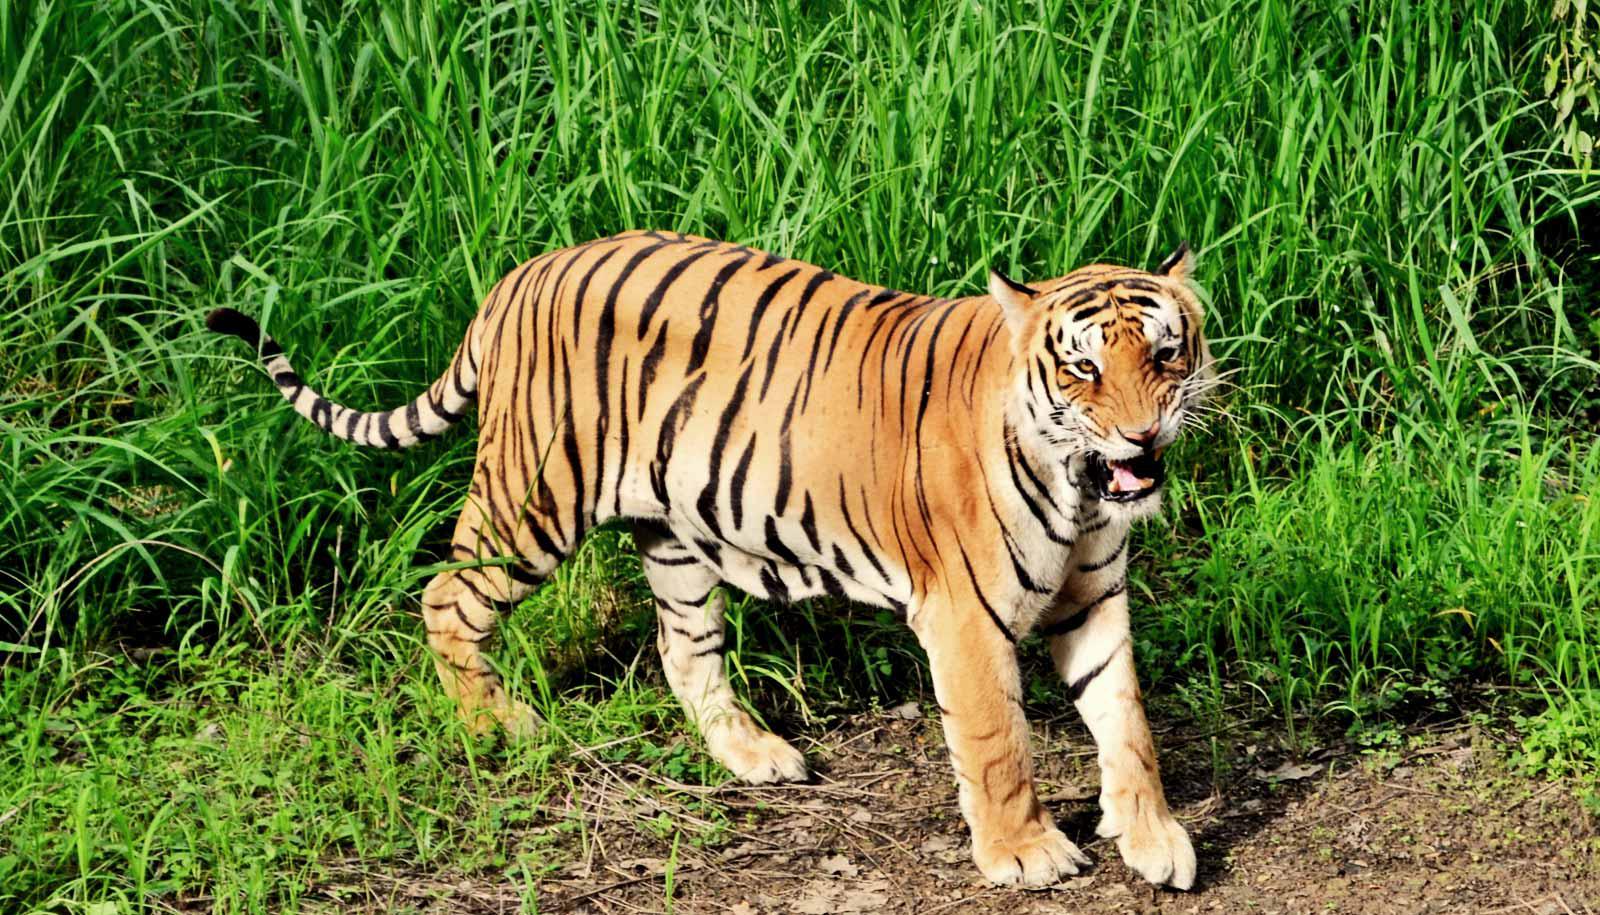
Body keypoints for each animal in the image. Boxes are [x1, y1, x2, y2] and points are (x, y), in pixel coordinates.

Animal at [206, 228, 1203, 889]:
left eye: (1166, 351)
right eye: (1081, 369)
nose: (1141, 434)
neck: (1082, 489)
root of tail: (519, 275)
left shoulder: (1092, 598)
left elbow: (1127, 722)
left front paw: (1152, 836)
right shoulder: (963, 616)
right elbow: (999, 742)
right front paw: (1026, 852)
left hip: (676, 540)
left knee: (682, 653)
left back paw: (758, 755)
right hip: (533, 500)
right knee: (448, 596)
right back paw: (499, 724)